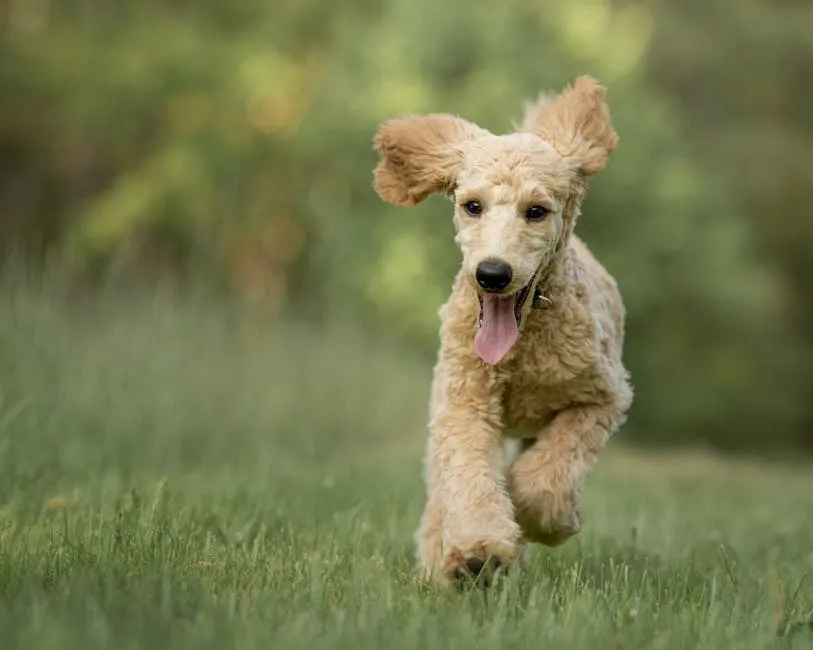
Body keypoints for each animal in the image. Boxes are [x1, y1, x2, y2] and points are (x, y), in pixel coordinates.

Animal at [372, 74, 632, 584]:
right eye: (472, 206)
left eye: (536, 211)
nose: (492, 273)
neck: (524, 344)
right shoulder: (465, 404)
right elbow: (469, 475)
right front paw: (480, 550)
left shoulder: (602, 399)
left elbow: (547, 476)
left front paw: (541, 518)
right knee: (442, 489)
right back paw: (441, 561)